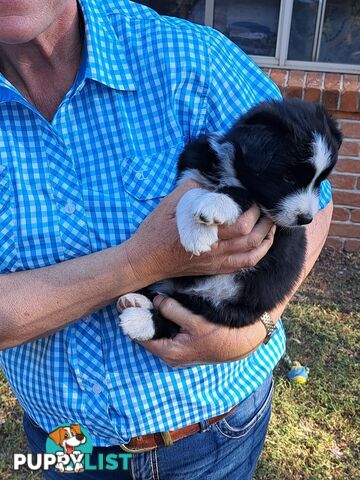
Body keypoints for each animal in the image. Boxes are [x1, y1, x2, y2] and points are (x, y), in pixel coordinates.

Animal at [116, 99, 342, 342]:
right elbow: (190, 193)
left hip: (226, 306)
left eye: (320, 182)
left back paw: (139, 320)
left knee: (183, 310)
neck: (233, 170)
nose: (306, 219)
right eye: (288, 178)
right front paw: (196, 232)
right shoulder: (192, 170)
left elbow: (240, 194)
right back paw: (136, 301)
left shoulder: (270, 218)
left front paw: (208, 215)